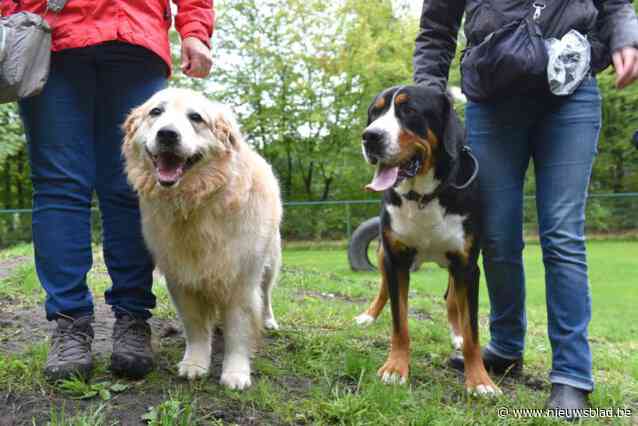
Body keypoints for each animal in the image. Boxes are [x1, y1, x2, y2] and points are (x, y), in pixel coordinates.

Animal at [356, 85, 500, 394]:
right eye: (375, 112)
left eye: (410, 110)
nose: (370, 136)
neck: (423, 197)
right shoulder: (396, 258)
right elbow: (399, 322)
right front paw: (395, 368)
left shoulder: (467, 265)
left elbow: (472, 330)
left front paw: (480, 380)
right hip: (383, 254)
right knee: (384, 289)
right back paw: (368, 316)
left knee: (452, 300)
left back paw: (456, 334)